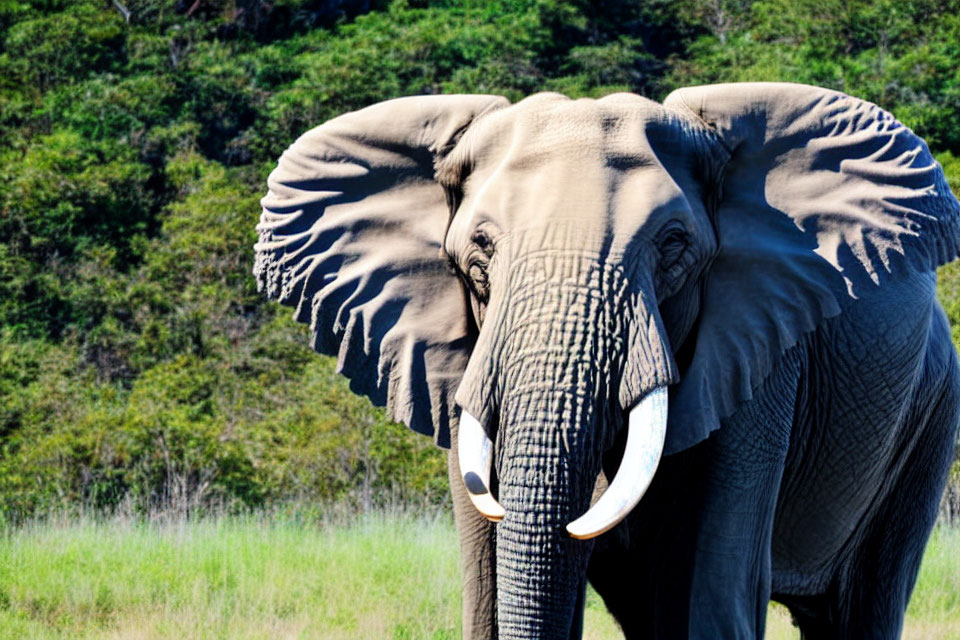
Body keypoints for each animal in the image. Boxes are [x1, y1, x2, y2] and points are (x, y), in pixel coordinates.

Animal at [253, 85, 960, 640]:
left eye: (673, 246)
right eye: (479, 251)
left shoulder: (760, 352)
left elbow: (707, 594)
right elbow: (490, 587)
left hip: (930, 410)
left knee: (860, 607)